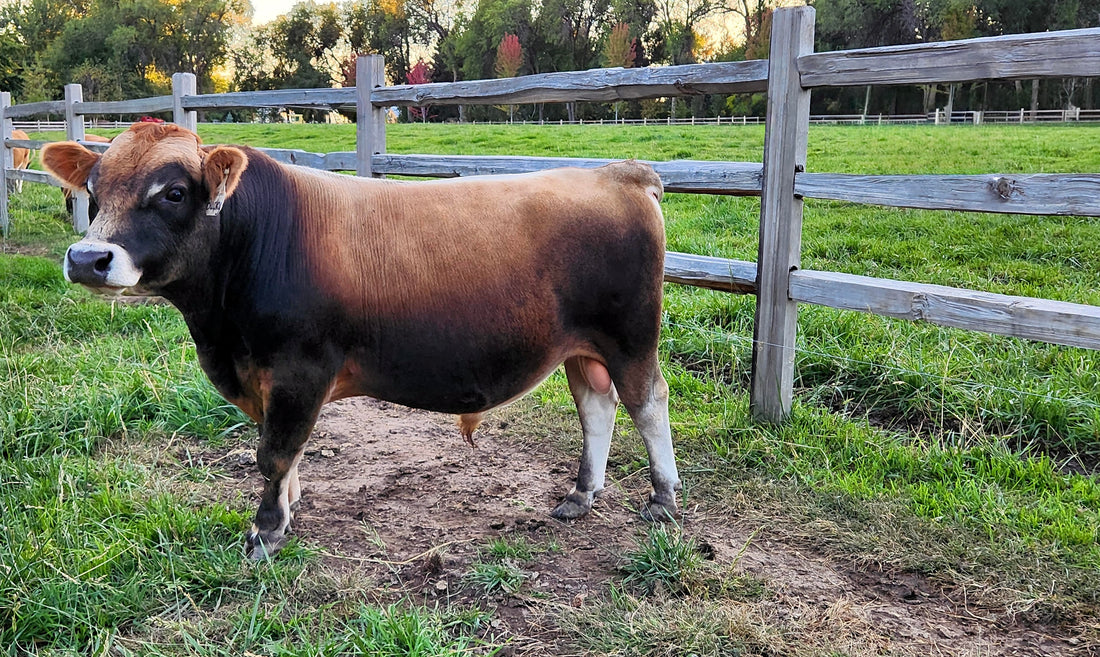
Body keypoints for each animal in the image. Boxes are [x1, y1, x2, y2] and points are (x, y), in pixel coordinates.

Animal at [41, 122, 681, 559]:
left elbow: (274, 451)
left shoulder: (297, 369)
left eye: (173, 193)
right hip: (581, 348)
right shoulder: (263, 375)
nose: (88, 258)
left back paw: (663, 500)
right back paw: (580, 496)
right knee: (597, 407)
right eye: (93, 187)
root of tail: (616, 172)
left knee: (648, 402)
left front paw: (266, 532)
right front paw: (289, 506)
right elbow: (285, 450)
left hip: (630, 337)